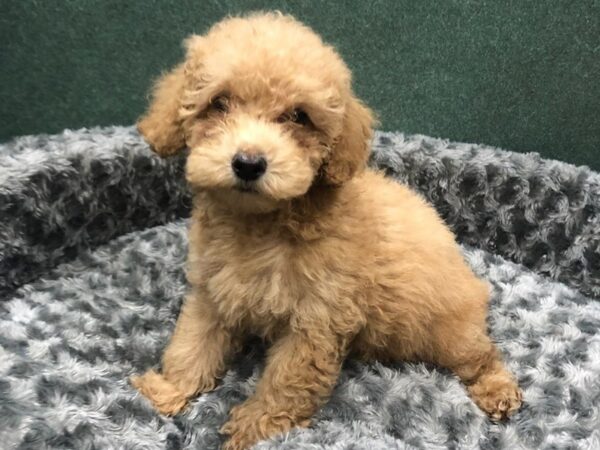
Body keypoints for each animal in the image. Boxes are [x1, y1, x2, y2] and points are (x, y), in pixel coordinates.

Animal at [131, 13, 520, 450]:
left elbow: (287, 380)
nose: (248, 163)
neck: (262, 223)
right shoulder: (213, 291)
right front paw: (167, 391)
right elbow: (191, 344)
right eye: (218, 103)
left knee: (482, 356)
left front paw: (255, 427)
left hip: (451, 331)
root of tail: (474, 282)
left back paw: (498, 390)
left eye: (298, 116)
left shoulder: (316, 320)